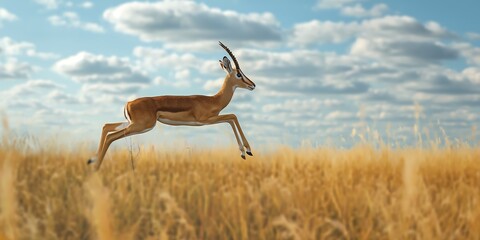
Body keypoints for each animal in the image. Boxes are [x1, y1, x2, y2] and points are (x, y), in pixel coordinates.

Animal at [88, 41, 256, 170]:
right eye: (239, 74)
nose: (253, 85)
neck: (213, 100)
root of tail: (128, 103)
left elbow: (231, 118)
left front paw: (244, 152)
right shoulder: (205, 120)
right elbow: (232, 116)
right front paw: (246, 151)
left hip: (132, 124)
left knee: (106, 127)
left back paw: (92, 162)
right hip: (141, 126)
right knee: (111, 136)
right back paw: (95, 168)